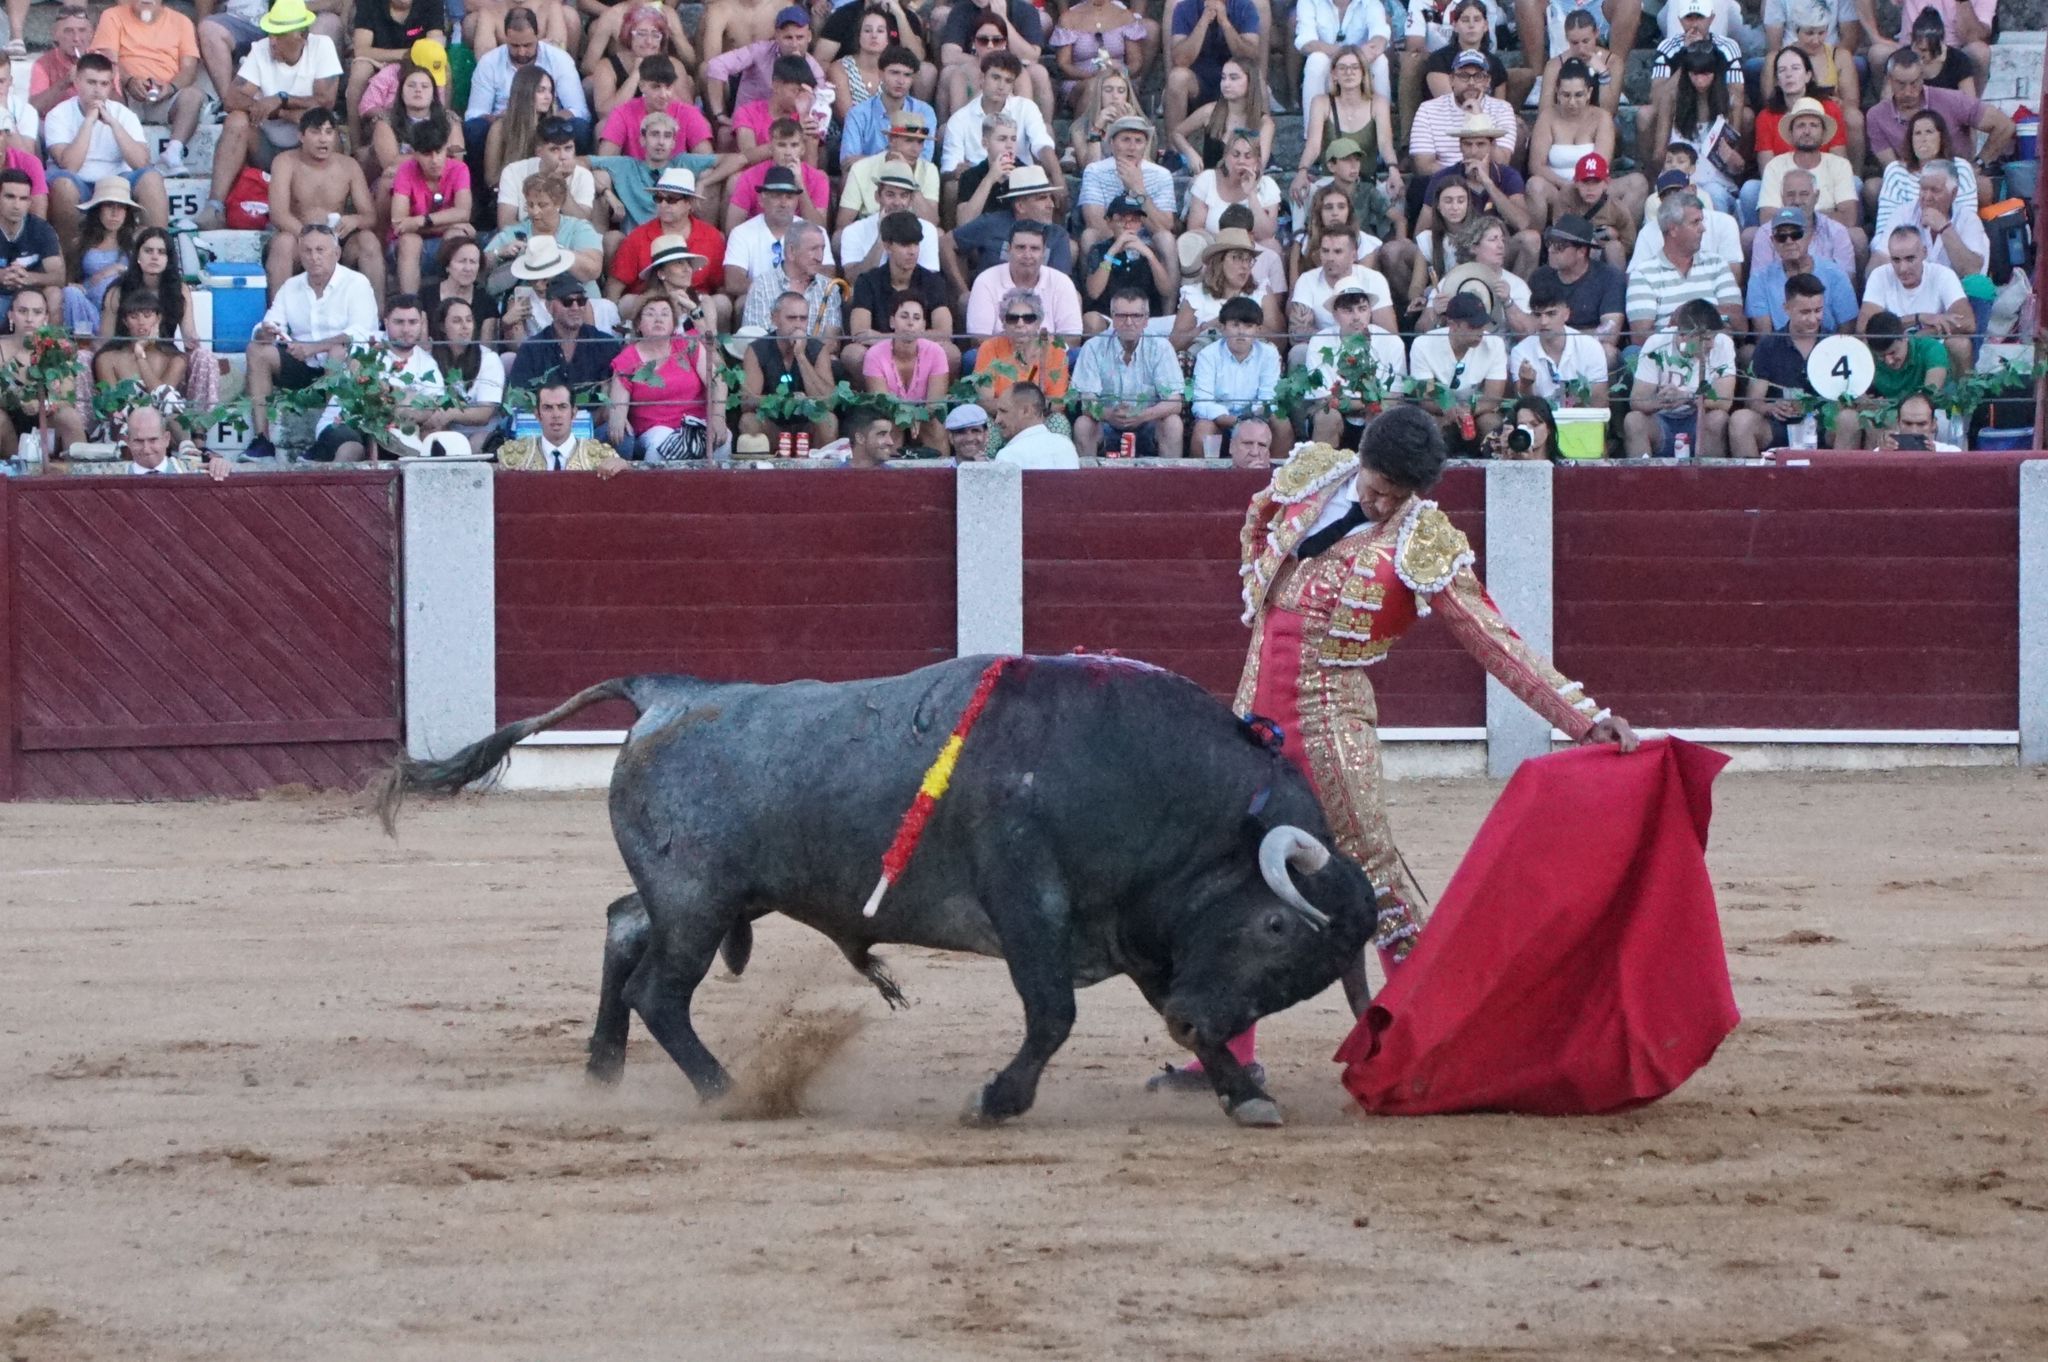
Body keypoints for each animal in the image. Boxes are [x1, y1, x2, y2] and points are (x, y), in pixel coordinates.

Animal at [376, 655, 1384, 1122]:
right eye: (1275, 929)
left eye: (1305, 980)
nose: (1189, 1023)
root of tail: (669, 690)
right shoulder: (1032, 903)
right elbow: (1052, 1014)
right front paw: (996, 1101)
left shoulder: (1136, 927)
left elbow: (1120, 1004)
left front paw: (1241, 1093)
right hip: (698, 902)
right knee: (660, 989)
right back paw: (727, 1091)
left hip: (704, 897)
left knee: (624, 929)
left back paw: (602, 1071)